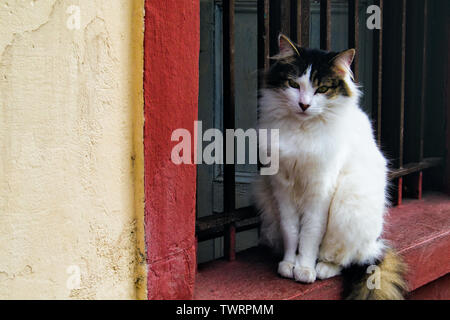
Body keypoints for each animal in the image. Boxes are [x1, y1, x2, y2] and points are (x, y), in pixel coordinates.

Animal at [253, 33, 408, 298]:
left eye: (322, 89)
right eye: (294, 85)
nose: (304, 105)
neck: (302, 130)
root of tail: (376, 244)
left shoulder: (320, 191)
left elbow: (309, 235)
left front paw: (304, 270)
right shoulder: (282, 188)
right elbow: (291, 231)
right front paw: (288, 265)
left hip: (349, 206)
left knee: (345, 258)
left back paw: (322, 268)